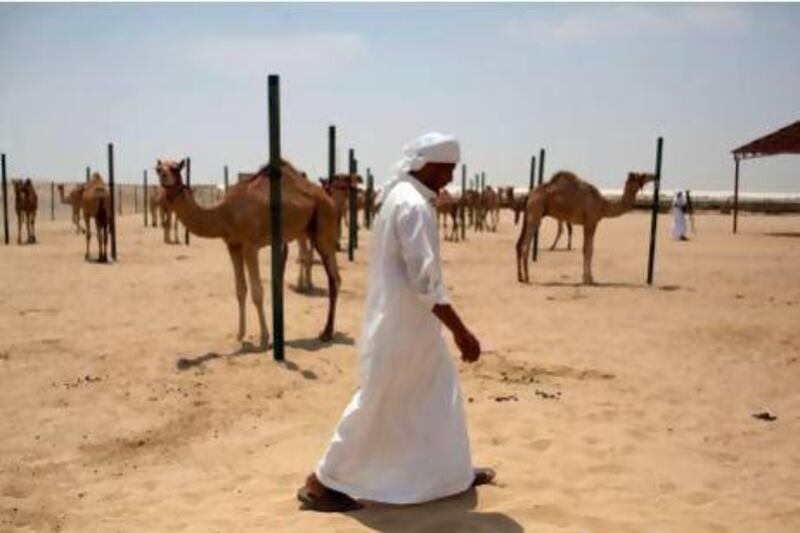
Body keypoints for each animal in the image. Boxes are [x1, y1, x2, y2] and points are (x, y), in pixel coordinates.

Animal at [156, 156, 340, 348]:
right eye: (158, 168)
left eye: (176, 168)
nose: (163, 176)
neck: (225, 214)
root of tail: (330, 200)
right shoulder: (233, 246)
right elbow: (240, 290)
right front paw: (240, 334)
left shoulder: (251, 246)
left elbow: (257, 292)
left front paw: (264, 338)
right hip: (305, 230)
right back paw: (326, 328)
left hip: (324, 224)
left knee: (334, 278)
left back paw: (326, 332)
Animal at [516, 172, 652, 284]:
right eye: (643, 175)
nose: (654, 176)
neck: (602, 205)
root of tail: (529, 195)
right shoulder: (590, 222)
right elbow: (588, 250)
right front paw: (588, 279)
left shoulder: (589, 224)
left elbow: (587, 250)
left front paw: (587, 277)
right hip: (535, 213)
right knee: (525, 245)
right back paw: (527, 277)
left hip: (530, 213)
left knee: (519, 243)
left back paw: (520, 277)